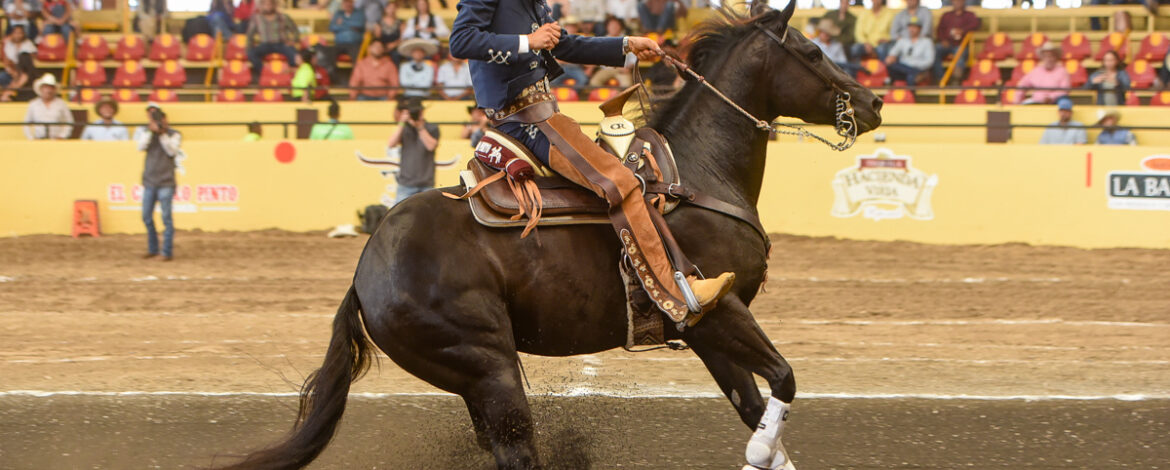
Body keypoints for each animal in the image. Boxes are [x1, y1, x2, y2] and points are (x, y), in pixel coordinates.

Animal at [215, 3, 882, 469]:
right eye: (814, 51)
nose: (873, 101)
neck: (695, 173)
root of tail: (363, 275)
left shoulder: (706, 331)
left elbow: (755, 404)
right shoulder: (720, 310)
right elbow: (785, 378)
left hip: (477, 382)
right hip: (491, 369)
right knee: (517, 450)